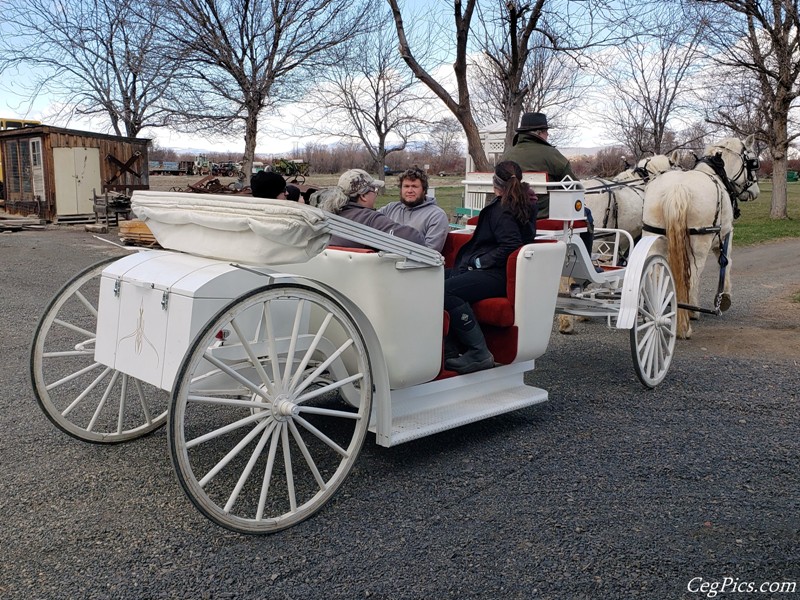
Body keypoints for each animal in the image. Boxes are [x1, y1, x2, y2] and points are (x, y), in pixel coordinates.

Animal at [640, 136, 760, 340]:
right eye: (753, 162)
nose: (755, 191)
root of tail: (677, 187)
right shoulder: (725, 234)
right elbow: (726, 263)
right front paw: (725, 298)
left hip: (654, 237)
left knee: (655, 273)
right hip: (700, 244)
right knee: (693, 275)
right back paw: (688, 317)